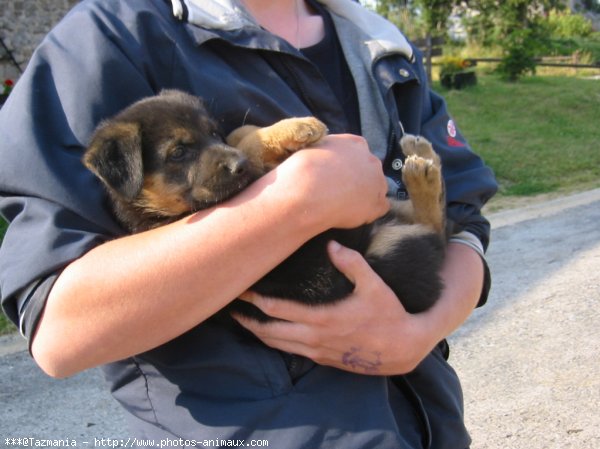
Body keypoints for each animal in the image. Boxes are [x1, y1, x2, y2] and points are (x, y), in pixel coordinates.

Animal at [85, 89, 450, 316]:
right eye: (177, 152)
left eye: (212, 133)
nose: (239, 166)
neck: (150, 211)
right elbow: (250, 147)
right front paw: (295, 129)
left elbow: (241, 133)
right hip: (381, 254)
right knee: (434, 229)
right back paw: (422, 174)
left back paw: (423, 153)